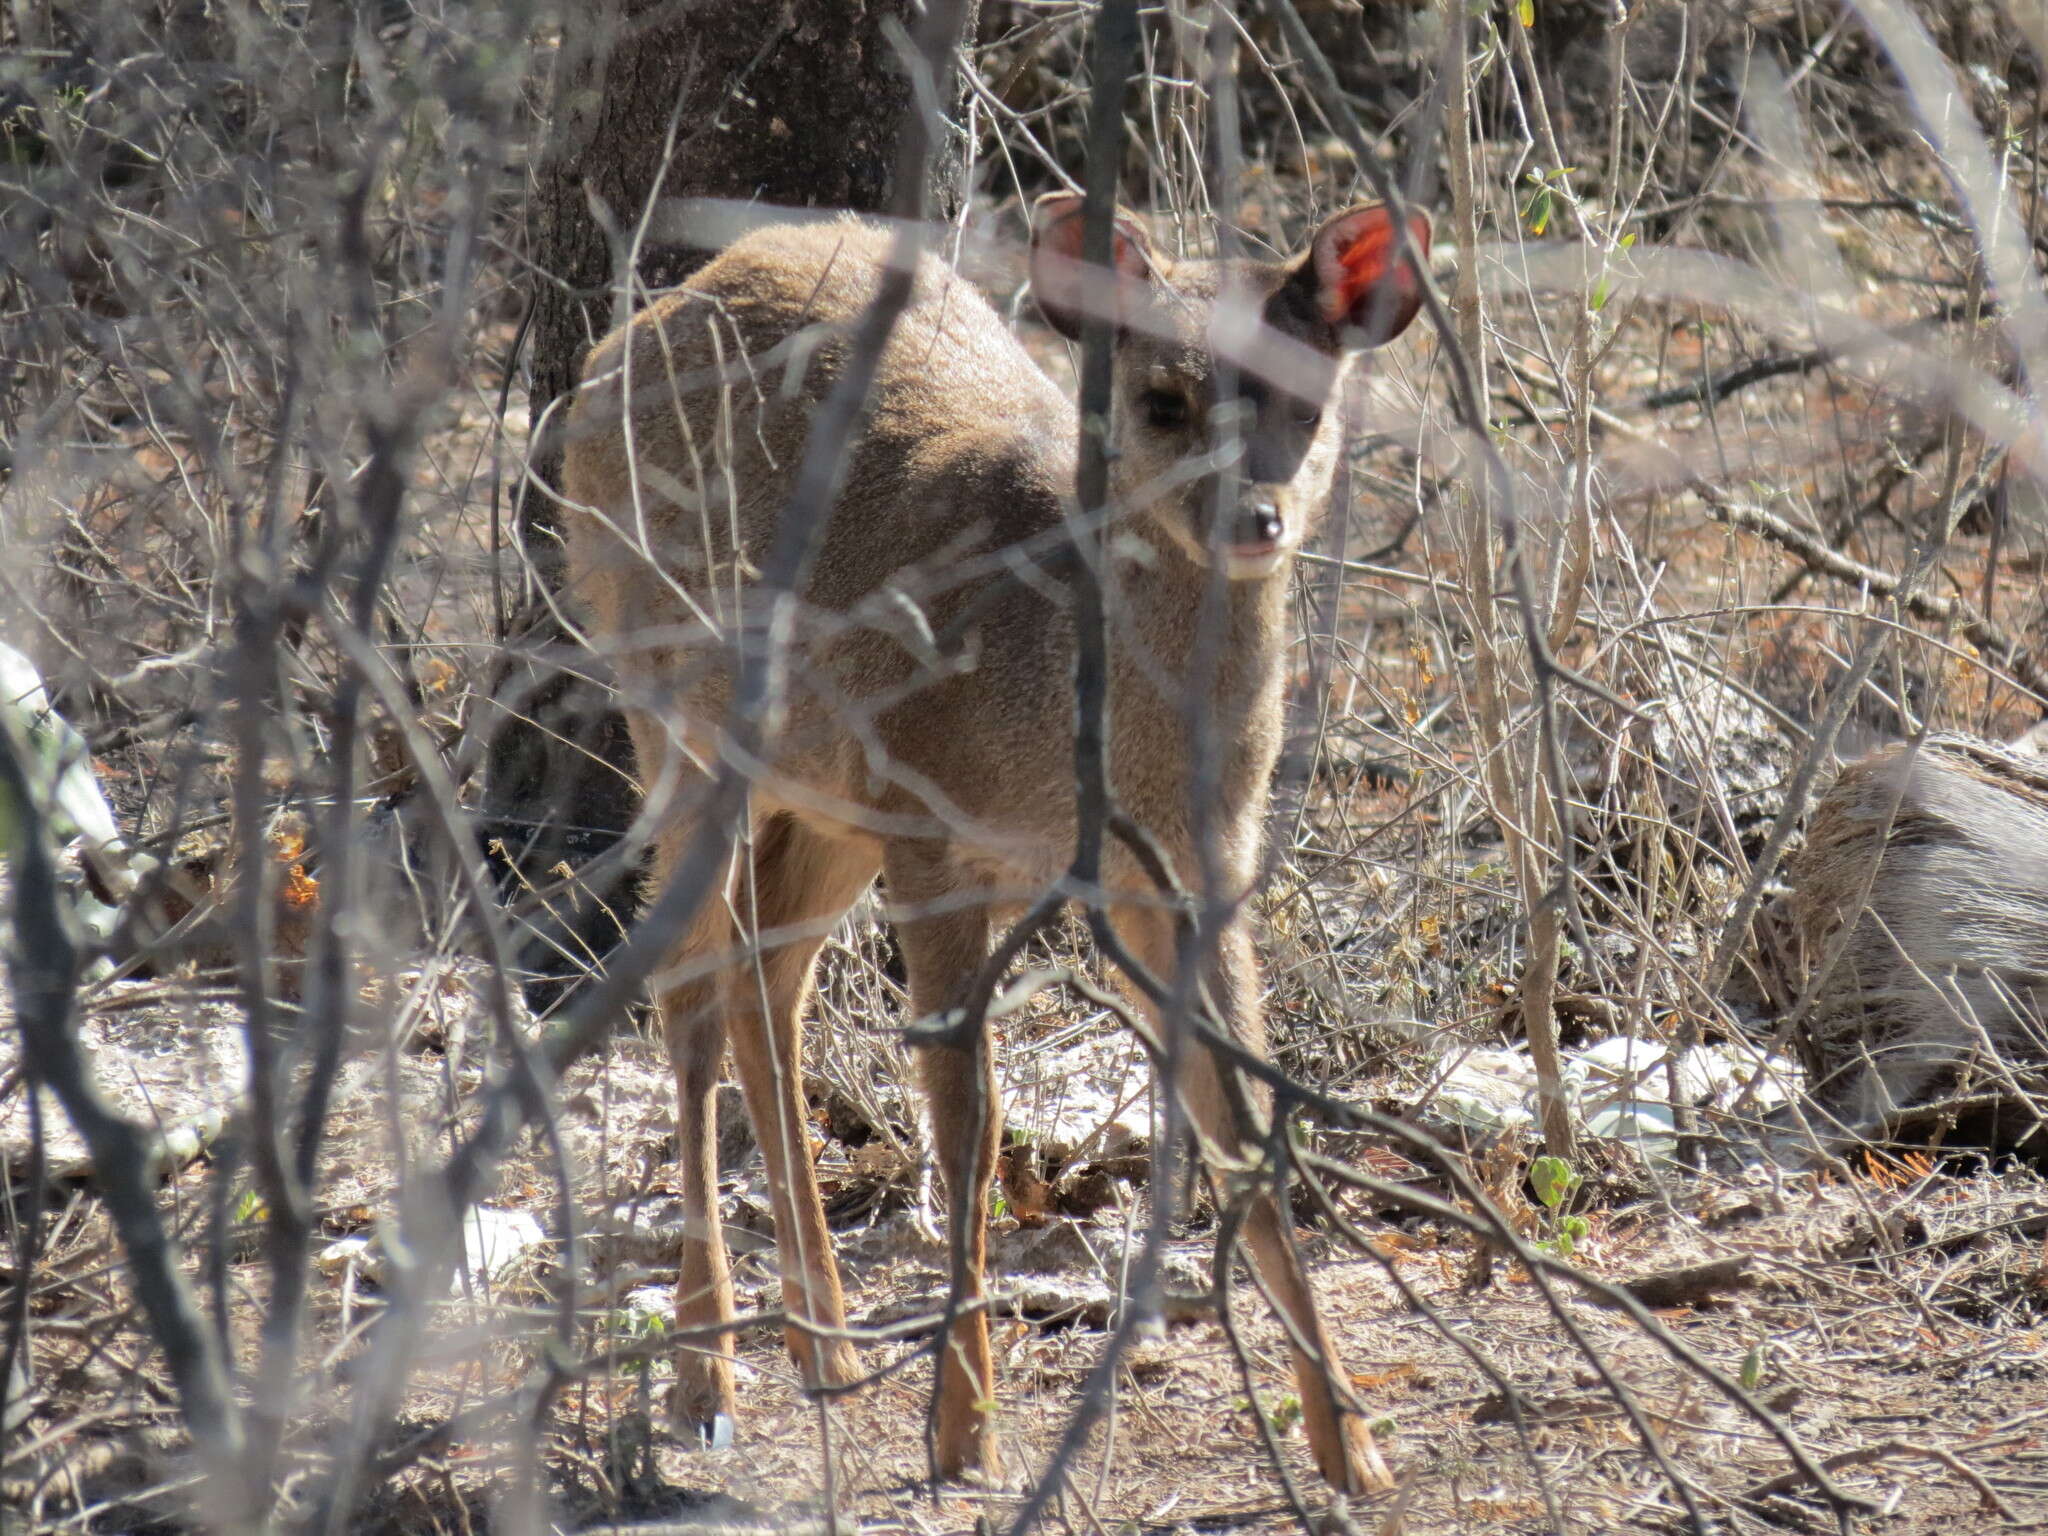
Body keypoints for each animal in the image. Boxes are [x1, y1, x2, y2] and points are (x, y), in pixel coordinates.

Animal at [557, 186, 1425, 1499]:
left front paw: (1351, 1446)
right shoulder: (934, 830)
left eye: (1307, 403)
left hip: (829, 797)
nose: (1258, 519)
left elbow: (1244, 1124)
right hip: (676, 713)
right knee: (691, 991)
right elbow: (966, 1126)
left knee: (769, 985)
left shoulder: (1190, 869)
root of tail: (625, 340)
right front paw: (964, 1430)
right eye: (1161, 400)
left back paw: (823, 1343)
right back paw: (707, 1381)